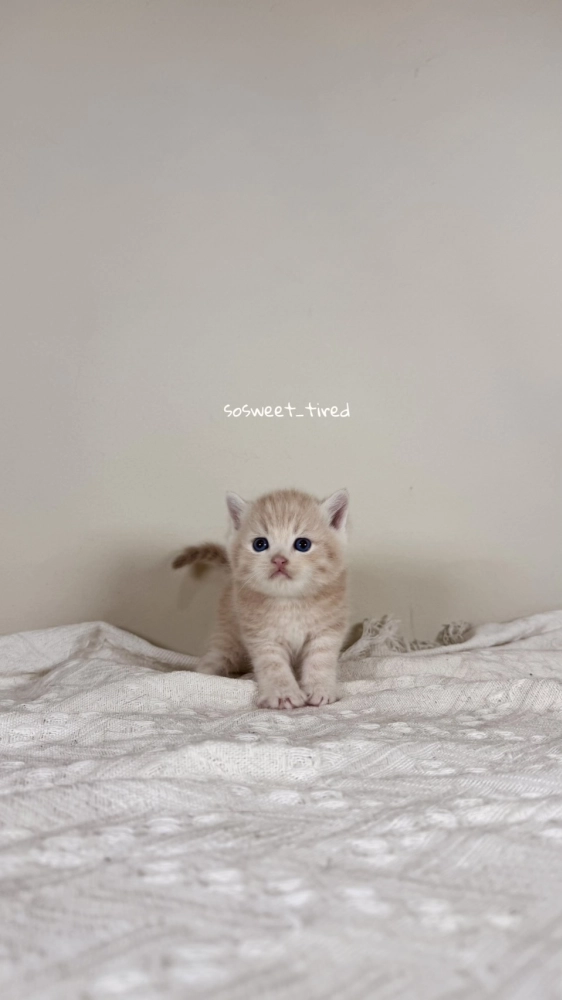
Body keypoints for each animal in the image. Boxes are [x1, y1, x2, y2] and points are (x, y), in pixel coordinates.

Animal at [173, 488, 349, 709]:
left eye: (303, 544)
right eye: (260, 544)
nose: (279, 560)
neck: (289, 602)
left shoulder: (328, 629)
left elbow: (321, 660)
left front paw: (320, 689)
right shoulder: (261, 635)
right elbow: (273, 665)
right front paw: (284, 694)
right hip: (228, 634)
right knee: (215, 657)